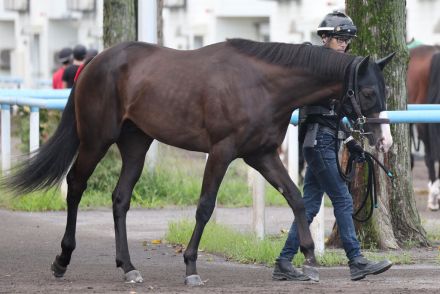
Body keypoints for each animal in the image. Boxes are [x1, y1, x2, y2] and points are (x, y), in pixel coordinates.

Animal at [1, 39, 394, 284]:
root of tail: (96, 63)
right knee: (75, 186)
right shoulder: (222, 152)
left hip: (136, 143)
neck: (261, 85)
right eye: (368, 92)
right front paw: (190, 265)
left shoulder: (261, 154)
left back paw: (128, 267)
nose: (384, 141)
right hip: (97, 138)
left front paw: (309, 260)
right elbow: (205, 206)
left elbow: (296, 199)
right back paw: (62, 260)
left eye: (385, 90)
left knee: (120, 198)